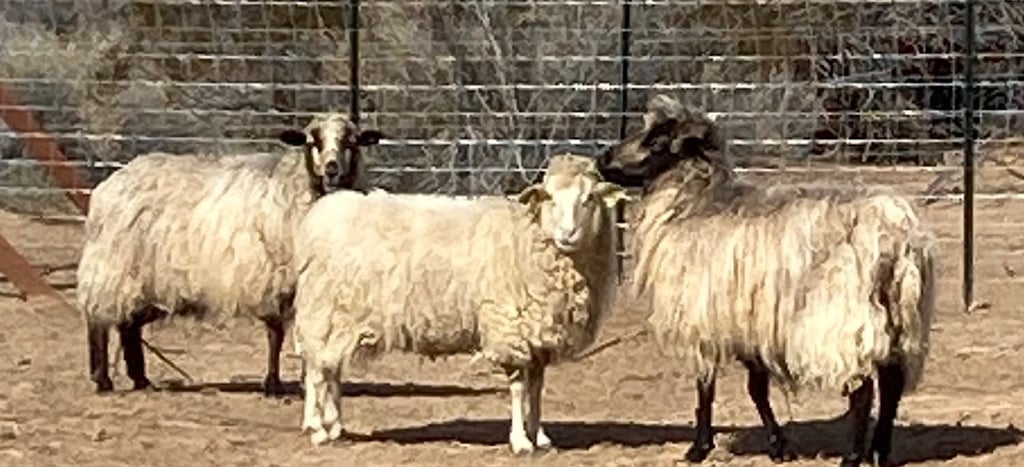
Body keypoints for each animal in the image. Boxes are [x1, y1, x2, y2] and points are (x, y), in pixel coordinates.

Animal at [77, 113, 383, 396]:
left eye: (351, 141)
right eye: (312, 141)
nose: (332, 169)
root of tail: (111, 183)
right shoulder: (276, 279)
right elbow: (276, 333)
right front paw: (275, 384)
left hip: (146, 282)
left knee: (129, 325)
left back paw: (141, 380)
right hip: (113, 267)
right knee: (98, 320)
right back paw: (102, 379)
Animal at [290, 154, 627, 452]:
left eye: (589, 198)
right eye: (550, 198)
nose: (568, 234)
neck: (527, 237)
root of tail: (318, 218)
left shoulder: (538, 335)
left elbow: (536, 389)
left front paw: (540, 437)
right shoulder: (510, 328)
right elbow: (519, 388)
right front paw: (521, 442)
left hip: (338, 320)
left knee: (330, 370)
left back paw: (335, 426)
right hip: (327, 312)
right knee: (319, 372)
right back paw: (319, 429)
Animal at [594, 95, 937, 467]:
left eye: (656, 142)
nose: (602, 159)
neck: (691, 205)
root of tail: (896, 232)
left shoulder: (705, 319)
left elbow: (706, 387)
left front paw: (699, 448)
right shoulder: (749, 324)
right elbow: (756, 389)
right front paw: (777, 445)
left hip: (841, 319)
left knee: (863, 389)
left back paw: (852, 457)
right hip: (900, 317)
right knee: (892, 384)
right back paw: (880, 452)